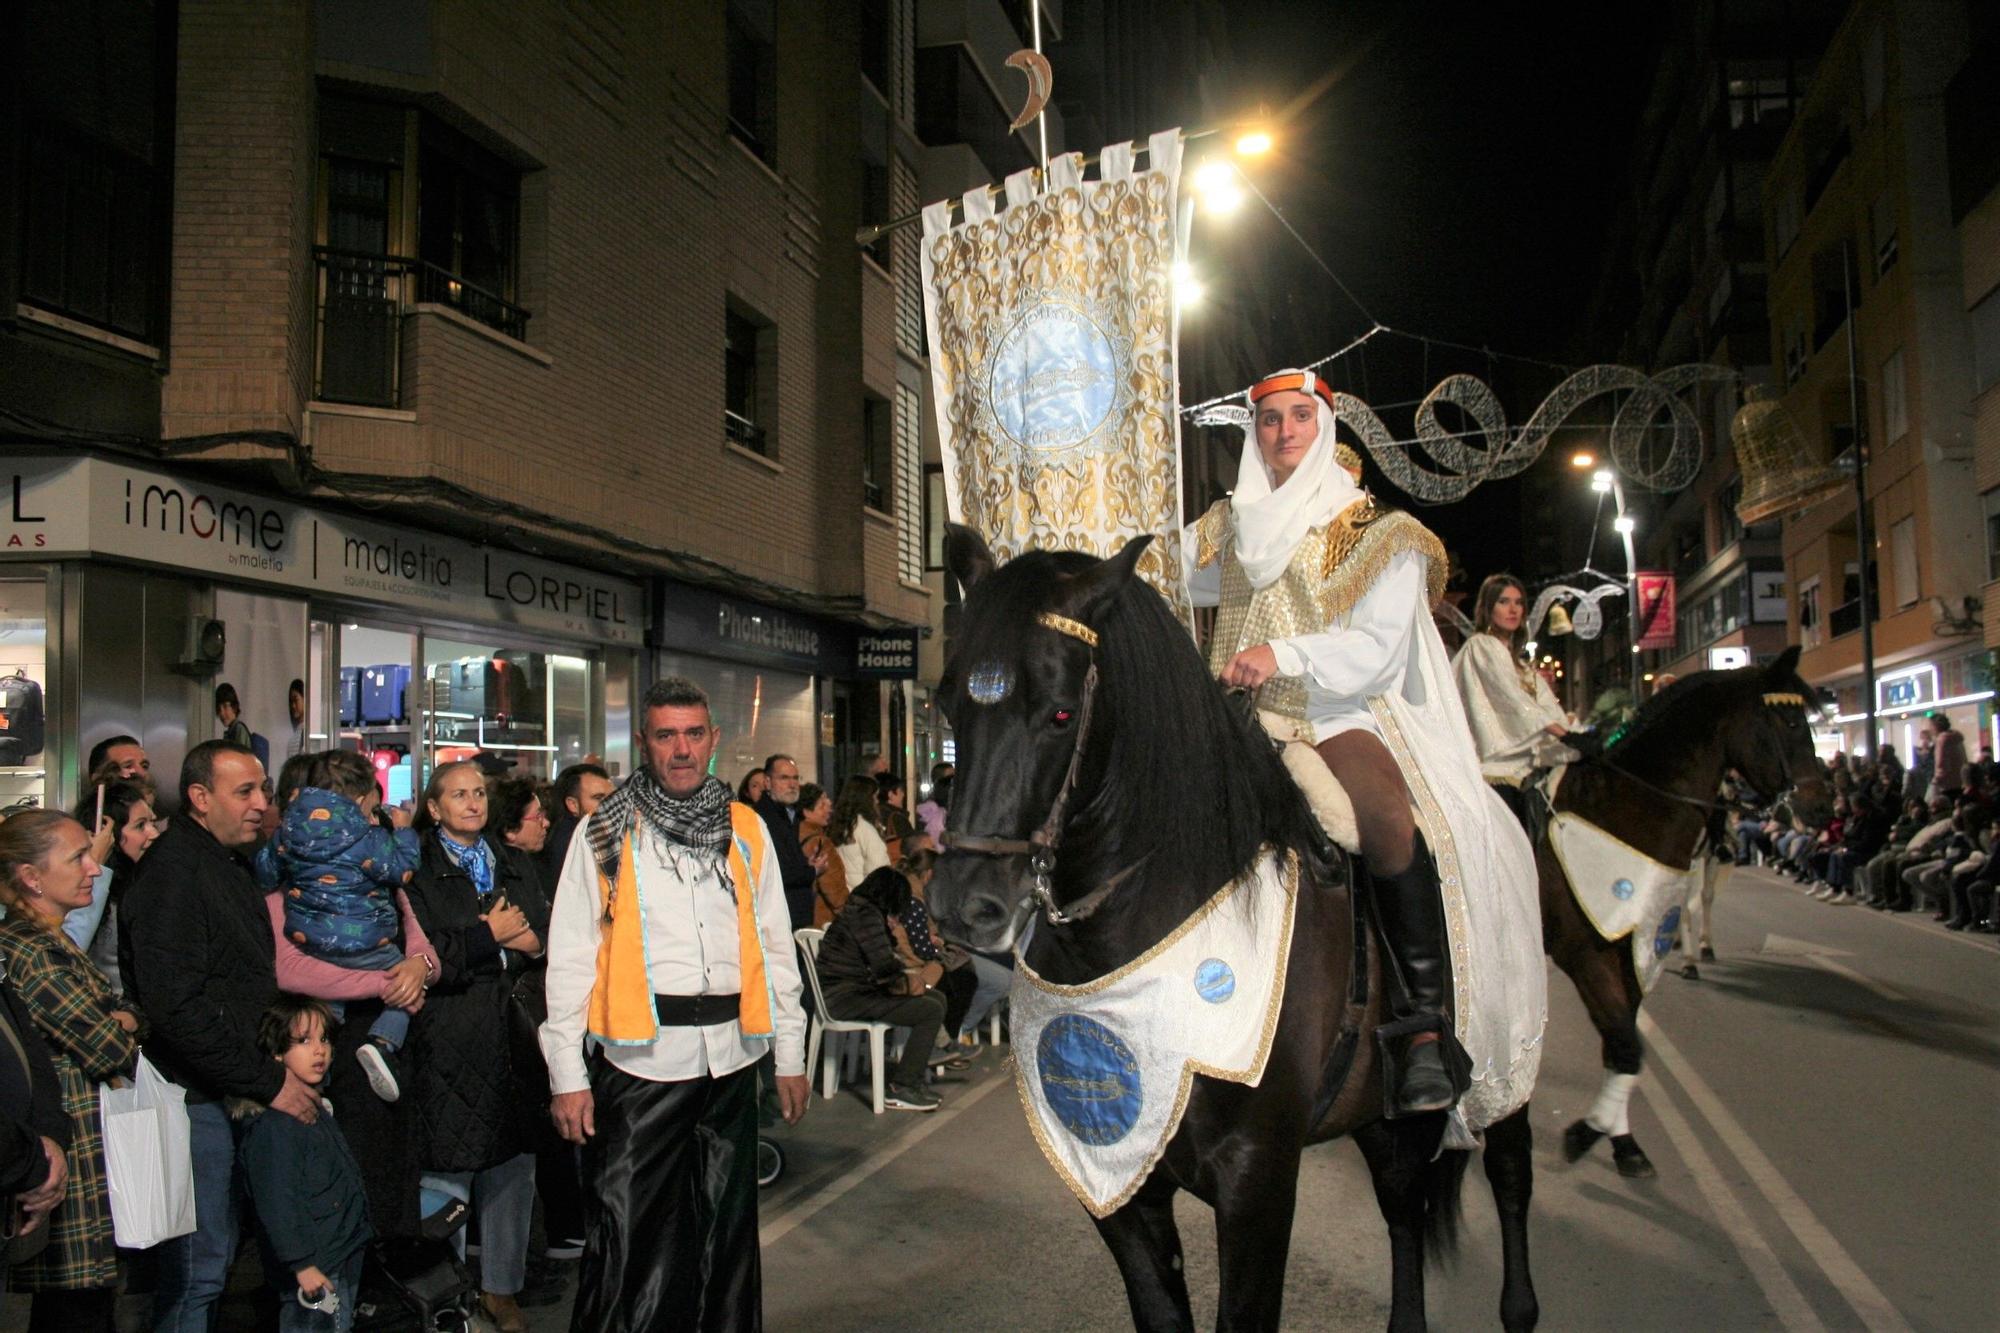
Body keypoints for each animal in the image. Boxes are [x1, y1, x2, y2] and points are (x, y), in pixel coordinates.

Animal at [928, 528, 1536, 1328]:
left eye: (1060, 713)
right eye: (946, 705)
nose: (964, 905)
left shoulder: (1258, 1179)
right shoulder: (1117, 1186)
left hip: (1505, 1065)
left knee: (1511, 1176)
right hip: (1377, 1108)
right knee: (1403, 1199)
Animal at [1536, 644, 1832, 1176]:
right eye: (1790, 723)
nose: (1821, 808)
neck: (1620, 808)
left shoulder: (1634, 946)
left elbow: (1622, 1044)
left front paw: (1623, 1142)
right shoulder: (1584, 952)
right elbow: (1627, 1047)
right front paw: (1586, 1132)